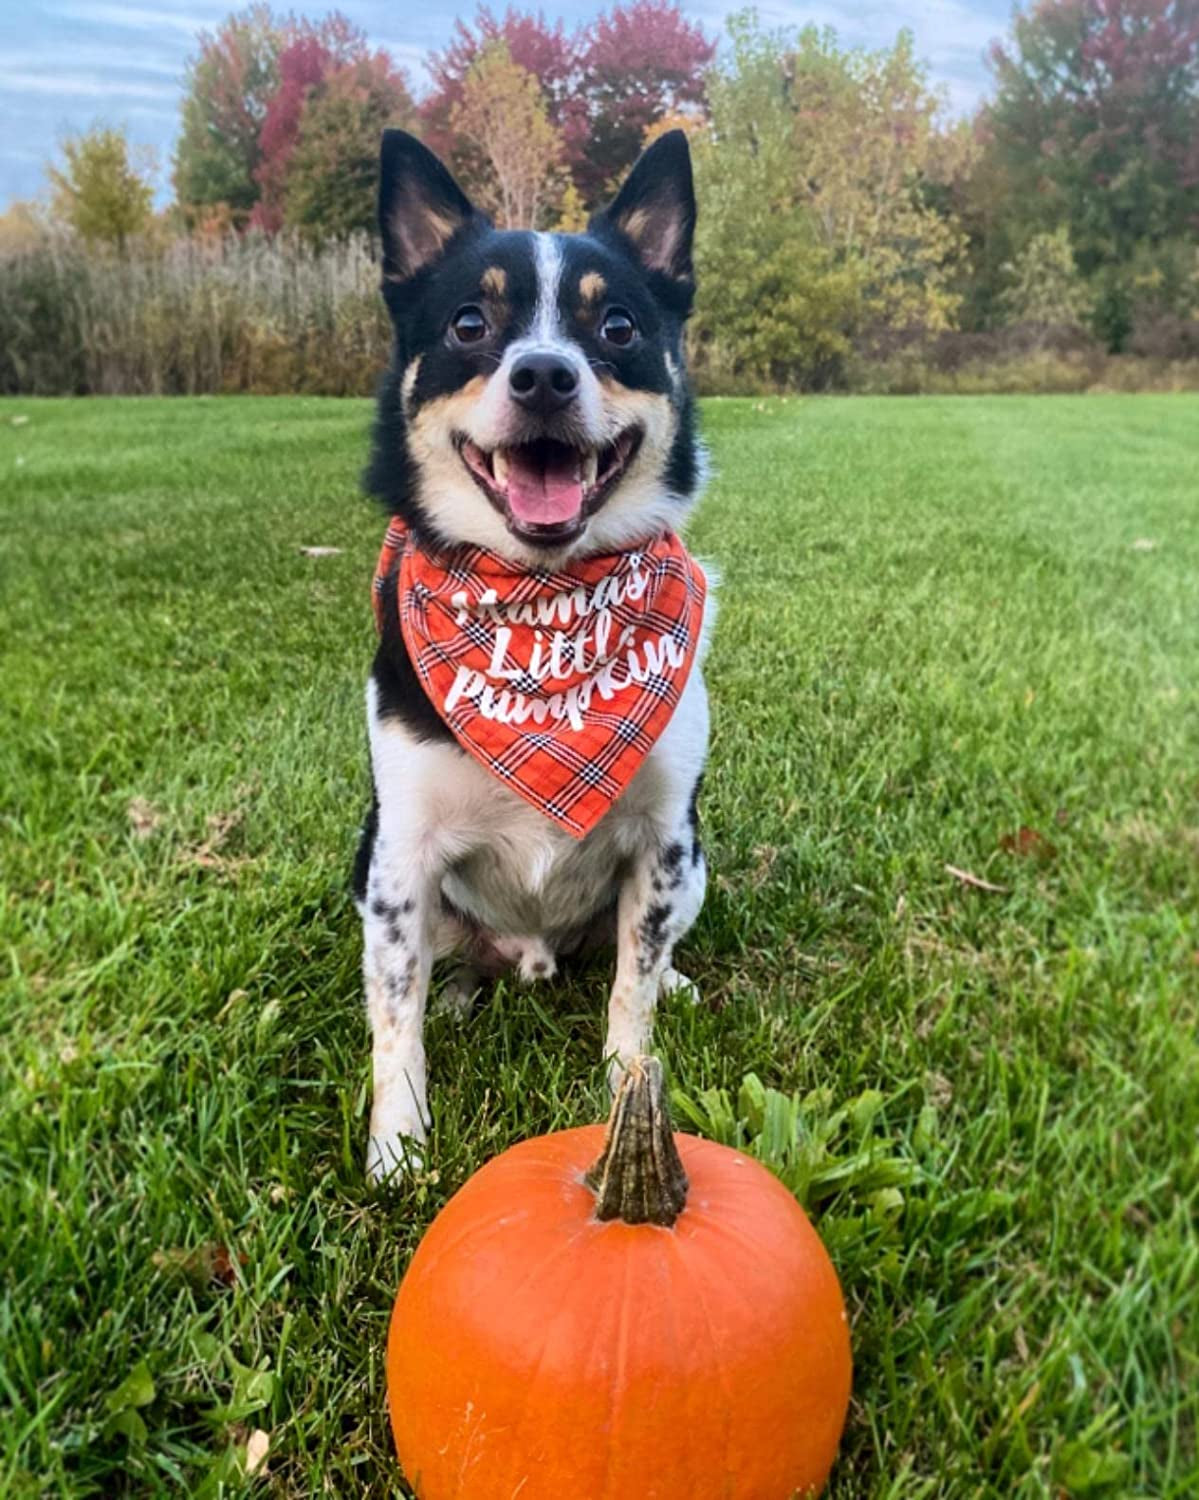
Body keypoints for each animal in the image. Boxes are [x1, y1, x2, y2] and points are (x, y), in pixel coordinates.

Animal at [354, 126, 714, 1182]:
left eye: (620, 327)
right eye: (470, 323)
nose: (545, 374)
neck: (542, 611)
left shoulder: (662, 842)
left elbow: (631, 990)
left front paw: (628, 1094)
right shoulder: (399, 859)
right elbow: (393, 1018)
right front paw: (399, 1144)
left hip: (697, 860)